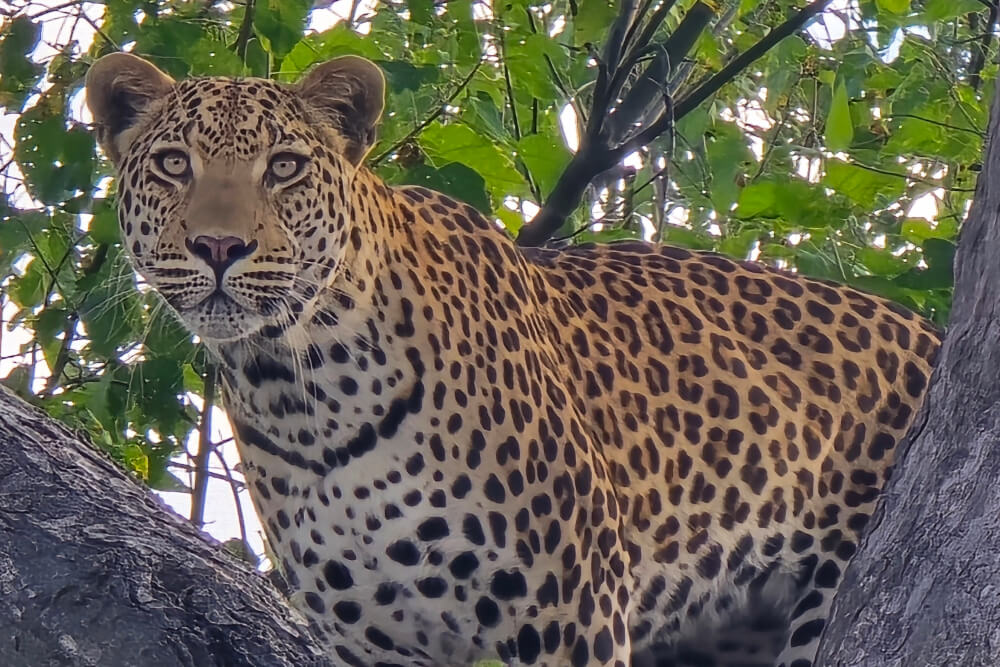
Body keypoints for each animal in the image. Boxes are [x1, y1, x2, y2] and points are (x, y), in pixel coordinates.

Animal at [85, 52, 941, 667]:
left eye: (285, 166)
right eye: (172, 164)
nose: (218, 247)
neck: (301, 384)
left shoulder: (568, 612)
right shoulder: (377, 645)